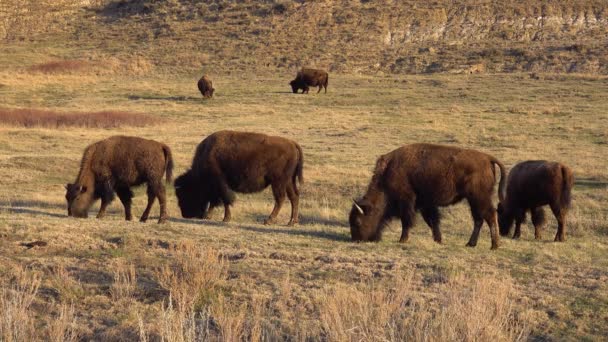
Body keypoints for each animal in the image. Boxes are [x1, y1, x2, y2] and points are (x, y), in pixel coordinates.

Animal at [175, 130, 304, 224]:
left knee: (280, 198)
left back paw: (269, 220)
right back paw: (291, 222)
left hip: (278, 182)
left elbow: (224, 200)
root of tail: (293, 144)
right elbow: (215, 201)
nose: (185, 214)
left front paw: (225, 218)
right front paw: (209, 216)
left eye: (186, 193)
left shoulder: (220, 184)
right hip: (288, 181)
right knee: (294, 197)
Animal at [350, 143, 506, 250]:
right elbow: (432, 221)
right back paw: (470, 243)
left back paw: (494, 245)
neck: (387, 174)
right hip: (473, 200)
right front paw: (438, 240)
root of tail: (487, 158)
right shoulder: (426, 204)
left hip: (479, 198)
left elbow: (407, 221)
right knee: (478, 219)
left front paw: (402, 239)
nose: (356, 240)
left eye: (358, 222)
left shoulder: (407, 201)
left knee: (490, 215)